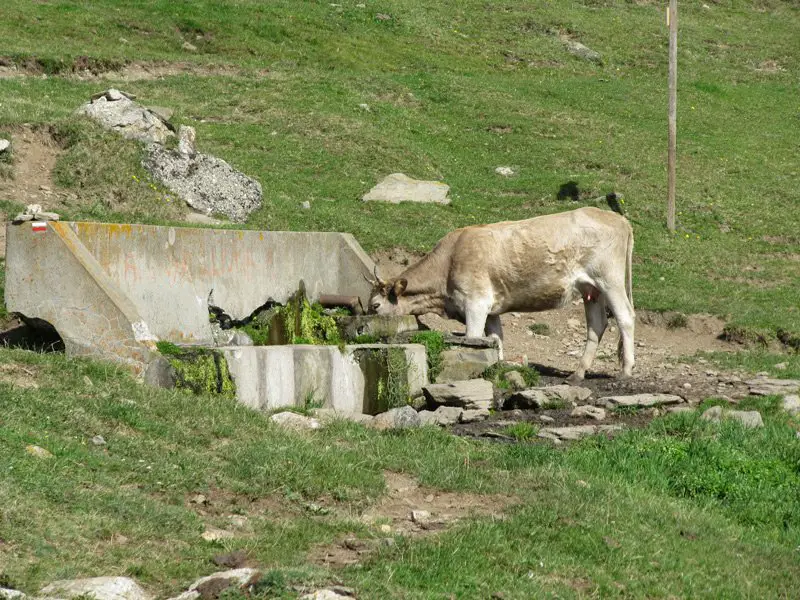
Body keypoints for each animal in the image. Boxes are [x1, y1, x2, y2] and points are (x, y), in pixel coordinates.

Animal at [366, 206, 636, 382]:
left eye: (376, 306)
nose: (363, 327)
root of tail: (617, 218)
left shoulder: (476, 303)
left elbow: (473, 338)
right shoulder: (492, 309)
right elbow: (496, 341)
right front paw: (497, 370)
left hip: (609, 280)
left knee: (625, 317)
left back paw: (625, 371)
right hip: (591, 289)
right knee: (597, 325)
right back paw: (577, 374)